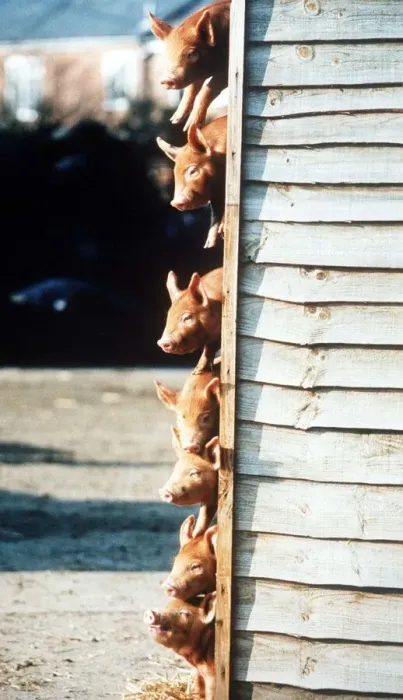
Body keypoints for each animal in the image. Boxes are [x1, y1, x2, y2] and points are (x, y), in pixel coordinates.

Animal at [149, 1, 230, 130]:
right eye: (167, 55)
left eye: (191, 54)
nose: (167, 80)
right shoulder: (196, 73)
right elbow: (191, 88)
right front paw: (175, 120)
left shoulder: (226, 70)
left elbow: (208, 88)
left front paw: (190, 126)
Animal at [157, 116, 227, 248]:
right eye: (175, 173)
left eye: (193, 171)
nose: (175, 202)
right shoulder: (216, 195)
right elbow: (215, 212)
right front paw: (208, 245)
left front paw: (223, 230)